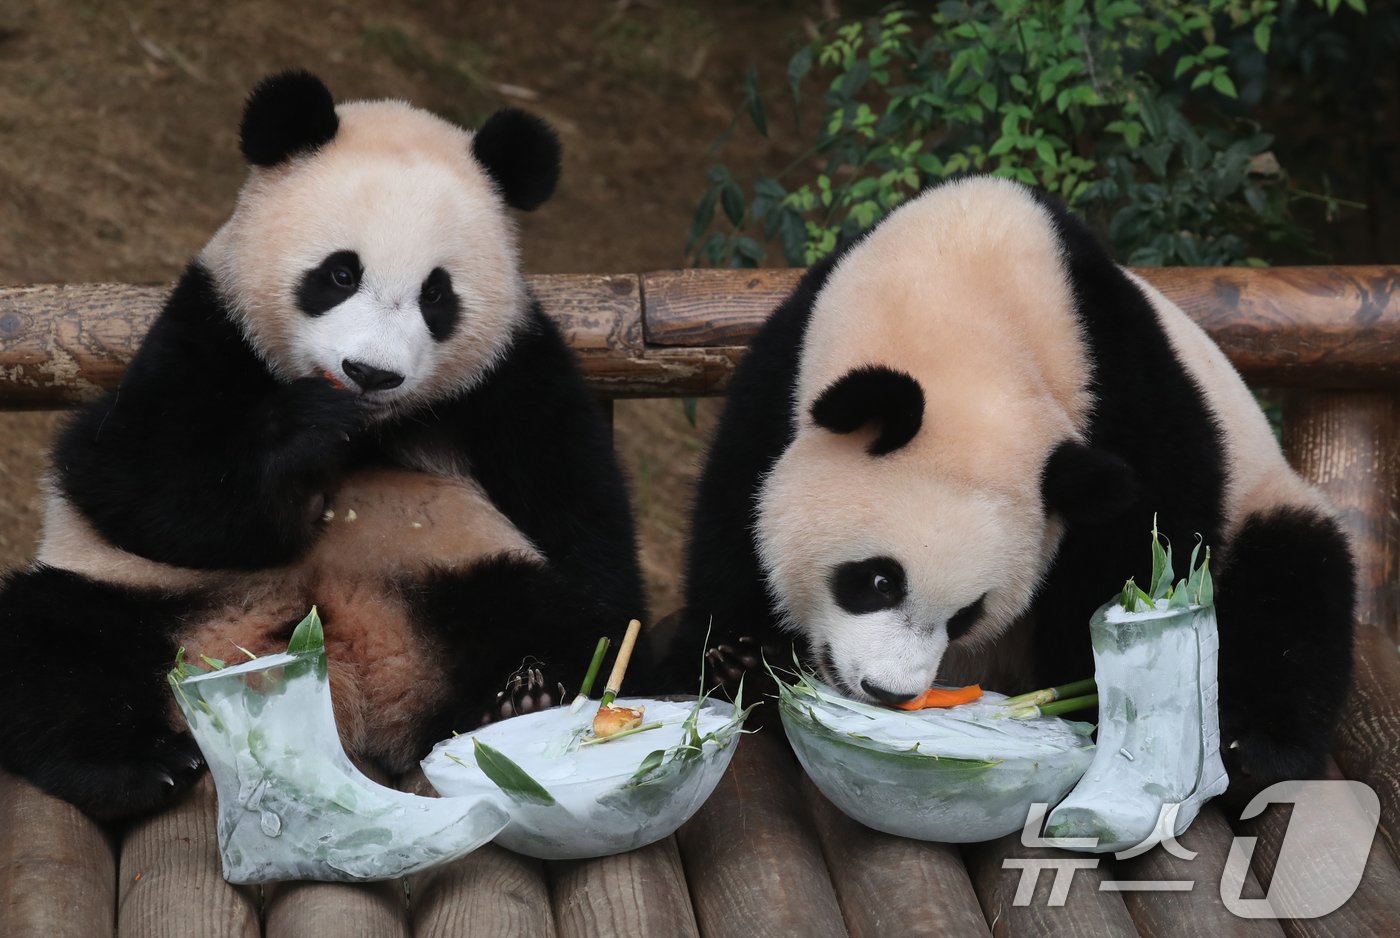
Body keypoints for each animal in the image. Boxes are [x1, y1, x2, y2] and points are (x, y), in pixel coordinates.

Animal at [0, 71, 649, 823]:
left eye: (436, 294)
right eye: (340, 274)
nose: (371, 373)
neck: (371, 427)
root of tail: (350, 691)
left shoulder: (515, 376)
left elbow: (592, 542)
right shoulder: (208, 327)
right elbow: (127, 476)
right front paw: (304, 434)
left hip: (460, 571)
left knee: (550, 619)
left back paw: (515, 704)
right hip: (139, 600)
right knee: (47, 645)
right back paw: (137, 768)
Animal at [666, 176, 1355, 800]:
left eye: (968, 614)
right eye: (879, 581)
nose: (889, 692)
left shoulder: (1124, 393)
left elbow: (1146, 544)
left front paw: (1091, 698)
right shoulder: (787, 372)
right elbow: (735, 519)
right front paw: (743, 661)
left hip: (1264, 499)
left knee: (1293, 588)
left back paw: (1251, 750)